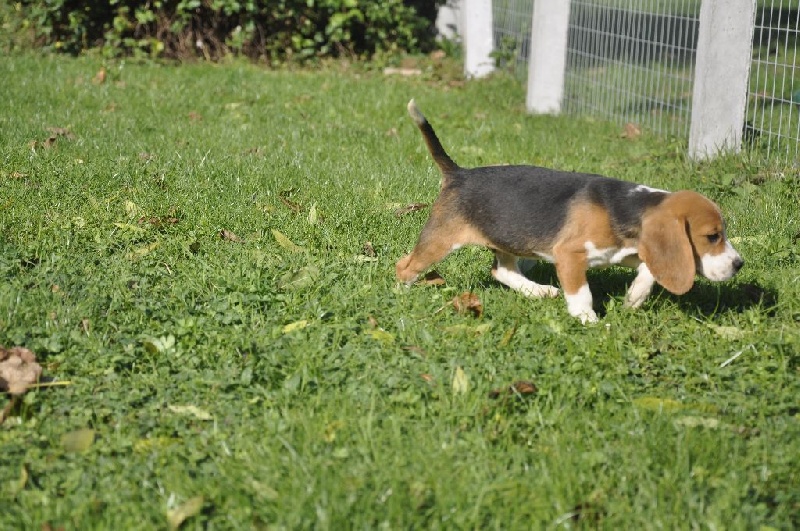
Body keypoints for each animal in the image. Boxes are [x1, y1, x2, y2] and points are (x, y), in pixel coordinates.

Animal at [396, 100, 744, 324]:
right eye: (712, 236)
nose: (739, 264)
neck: (628, 206)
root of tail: (459, 173)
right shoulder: (569, 255)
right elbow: (581, 292)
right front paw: (588, 319)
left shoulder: (629, 250)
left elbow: (649, 268)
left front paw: (635, 296)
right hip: (440, 240)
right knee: (406, 266)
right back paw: (401, 294)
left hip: (507, 239)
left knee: (502, 271)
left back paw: (537, 291)